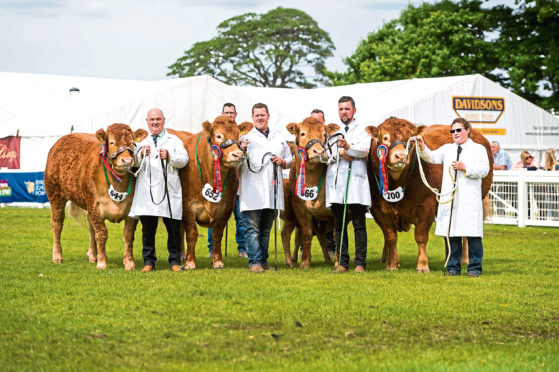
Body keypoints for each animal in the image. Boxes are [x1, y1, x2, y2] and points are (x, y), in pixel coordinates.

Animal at [45, 123, 148, 268]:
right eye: (111, 142)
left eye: (133, 143)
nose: (127, 160)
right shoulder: (95, 207)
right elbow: (102, 233)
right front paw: (102, 262)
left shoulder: (131, 211)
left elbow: (128, 235)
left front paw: (129, 263)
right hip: (55, 195)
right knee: (57, 224)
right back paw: (57, 256)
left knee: (90, 228)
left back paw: (93, 256)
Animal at [173, 115, 254, 268]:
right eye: (219, 136)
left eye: (238, 135)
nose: (238, 155)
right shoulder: (187, 205)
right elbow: (192, 233)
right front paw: (190, 262)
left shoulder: (227, 206)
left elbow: (217, 234)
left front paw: (218, 261)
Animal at [282, 116, 340, 268]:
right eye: (302, 133)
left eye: (324, 135)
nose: (318, 151)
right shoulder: (300, 209)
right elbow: (306, 234)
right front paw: (305, 262)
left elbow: (336, 235)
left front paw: (338, 262)